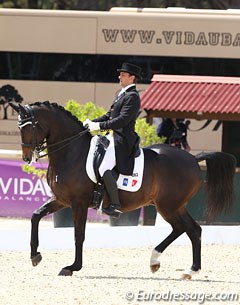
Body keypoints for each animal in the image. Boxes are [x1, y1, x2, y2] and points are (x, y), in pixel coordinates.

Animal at [10, 101, 235, 276]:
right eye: (19, 127)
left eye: (29, 127)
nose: (26, 158)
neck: (71, 153)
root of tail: (194, 160)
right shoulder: (62, 200)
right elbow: (35, 216)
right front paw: (35, 256)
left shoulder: (78, 203)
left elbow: (78, 235)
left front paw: (72, 267)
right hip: (173, 205)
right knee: (190, 229)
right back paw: (172, 266)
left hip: (168, 205)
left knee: (187, 229)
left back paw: (184, 267)